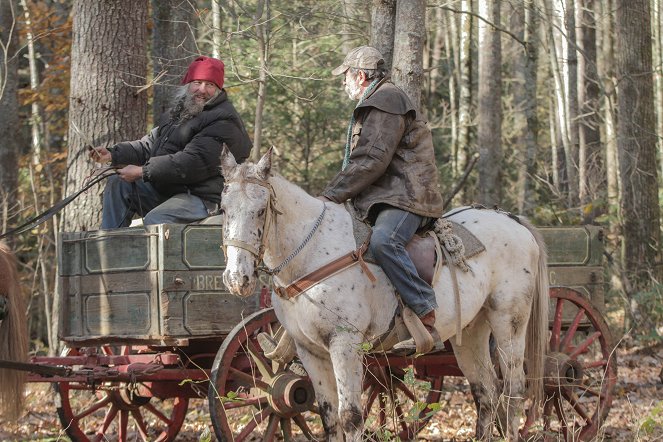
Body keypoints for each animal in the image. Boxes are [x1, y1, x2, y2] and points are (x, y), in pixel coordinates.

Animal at [220, 148, 548, 438]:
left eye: (261, 210)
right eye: (223, 210)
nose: (238, 278)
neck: (310, 252)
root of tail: (513, 220)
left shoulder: (345, 343)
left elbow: (350, 417)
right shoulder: (310, 350)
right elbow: (329, 419)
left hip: (509, 322)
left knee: (513, 390)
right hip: (470, 331)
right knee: (486, 392)